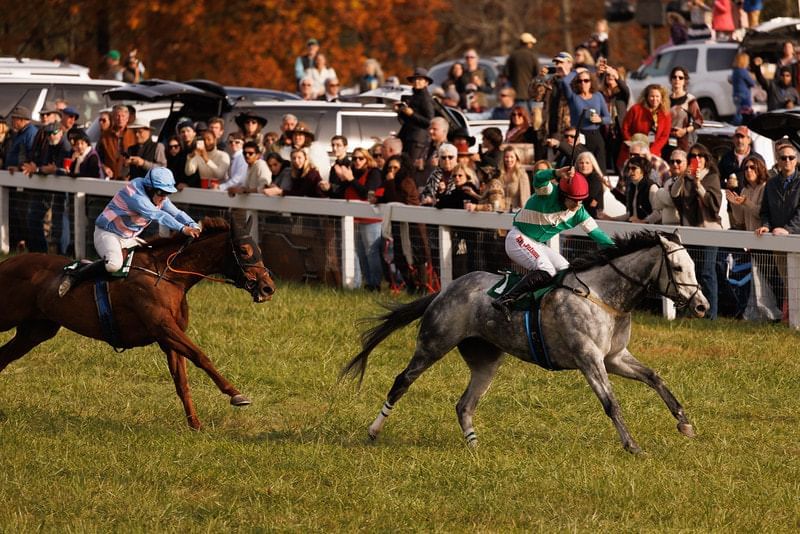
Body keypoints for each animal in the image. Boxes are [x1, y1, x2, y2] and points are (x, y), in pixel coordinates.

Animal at [0, 216, 276, 430]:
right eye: (244, 250)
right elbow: (201, 356)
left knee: (4, 356)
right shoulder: (163, 327)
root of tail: (7, 262)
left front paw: (195, 425)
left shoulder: (168, 337)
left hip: (36, 330)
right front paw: (236, 394)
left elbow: (182, 381)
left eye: (261, 251)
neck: (167, 275)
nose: (268, 288)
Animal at [344, 232, 712, 454]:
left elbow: (655, 378)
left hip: (486, 360)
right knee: (402, 381)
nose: (702, 306)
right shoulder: (589, 359)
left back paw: (474, 445)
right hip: (434, 343)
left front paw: (684, 422)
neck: (603, 295)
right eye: (678, 267)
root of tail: (445, 290)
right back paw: (373, 431)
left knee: (464, 404)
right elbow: (611, 404)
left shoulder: (615, 357)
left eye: (693, 265)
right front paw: (632, 445)